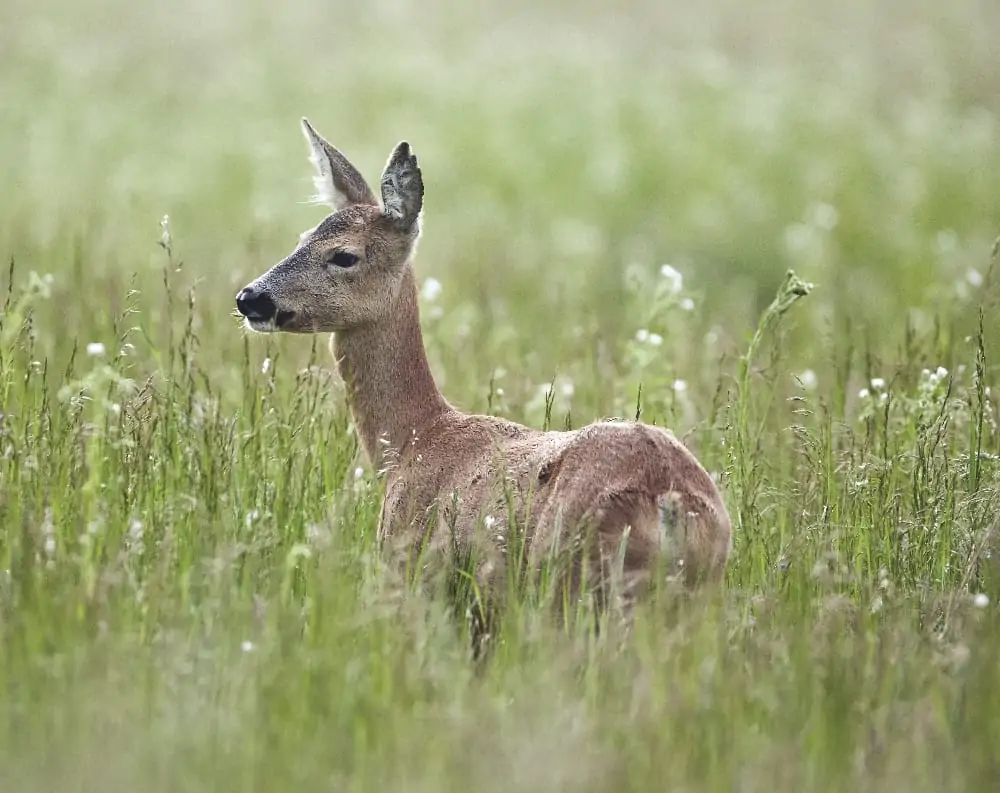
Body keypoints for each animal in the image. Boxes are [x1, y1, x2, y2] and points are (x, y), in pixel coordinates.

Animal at [236, 117, 736, 644]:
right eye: (301, 237)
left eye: (344, 256)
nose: (251, 298)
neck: (415, 441)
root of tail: (670, 501)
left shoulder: (413, 568)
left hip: (572, 587)